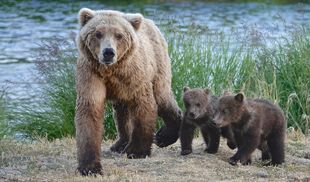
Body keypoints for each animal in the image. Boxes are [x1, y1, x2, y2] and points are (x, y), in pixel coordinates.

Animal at [75, 8, 182, 175]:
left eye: (119, 35)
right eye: (98, 33)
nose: (108, 52)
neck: (111, 70)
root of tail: (150, 22)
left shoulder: (134, 74)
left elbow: (143, 105)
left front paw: (137, 151)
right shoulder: (91, 74)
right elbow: (89, 111)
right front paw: (90, 167)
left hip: (158, 64)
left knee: (162, 97)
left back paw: (164, 136)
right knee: (122, 111)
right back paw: (120, 144)